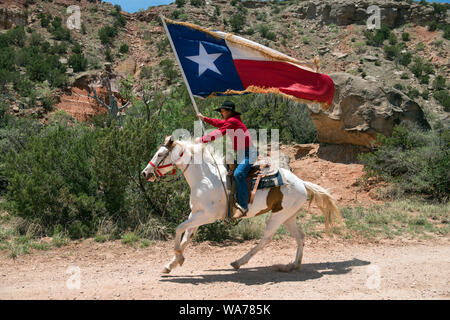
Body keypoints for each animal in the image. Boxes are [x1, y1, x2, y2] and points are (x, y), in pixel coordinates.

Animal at [141, 135, 342, 272]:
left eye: (160, 154)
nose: (145, 173)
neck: (206, 178)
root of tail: (301, 182)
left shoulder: (207, 216)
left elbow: (178, 229)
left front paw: (177, 257)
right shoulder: (195, 213)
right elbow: (186, 237)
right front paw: (173, 263)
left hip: (278, 216)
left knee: (266, 239)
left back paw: (239, 262)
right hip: (288, 216)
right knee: (300, 237)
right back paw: (293, 265)